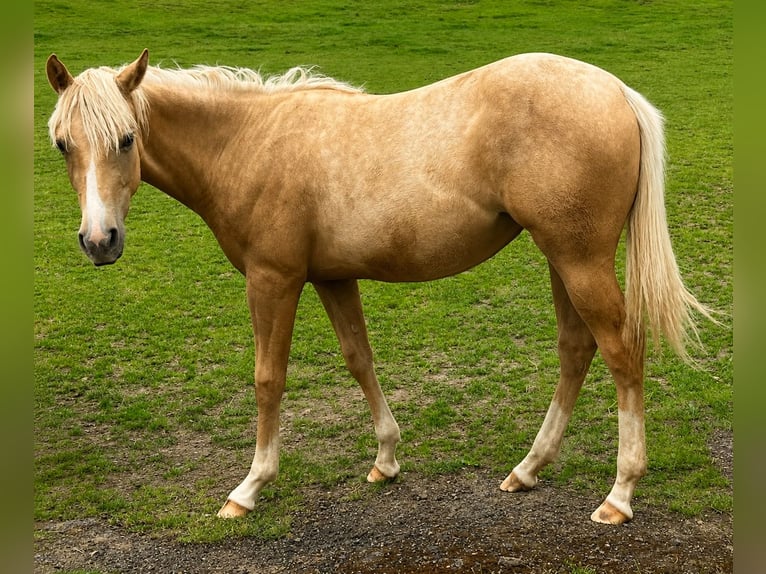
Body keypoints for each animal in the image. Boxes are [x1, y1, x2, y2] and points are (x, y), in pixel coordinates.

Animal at [46, 49, 713, 525]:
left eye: (127, 139)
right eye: (62, 144)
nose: (100, 240)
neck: (247, 142)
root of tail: (615, 91)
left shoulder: (273, 280)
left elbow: (268, 380)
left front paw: (250, 486)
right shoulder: (333, 277)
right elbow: (358, 359)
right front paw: (386, 461)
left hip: (580, 261)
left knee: (623, 352)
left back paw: (619, 495)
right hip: (562, 260)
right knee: (577, 350)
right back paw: (527, 470)